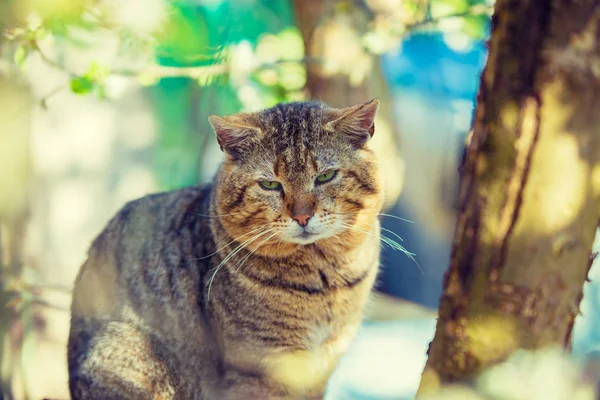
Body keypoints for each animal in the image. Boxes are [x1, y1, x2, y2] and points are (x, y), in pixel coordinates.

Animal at [67, 98, 384, 398]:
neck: (325, 279)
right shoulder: (263, 370)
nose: (303, 216)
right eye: (270, 185)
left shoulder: (322, 367)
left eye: (325, 177)